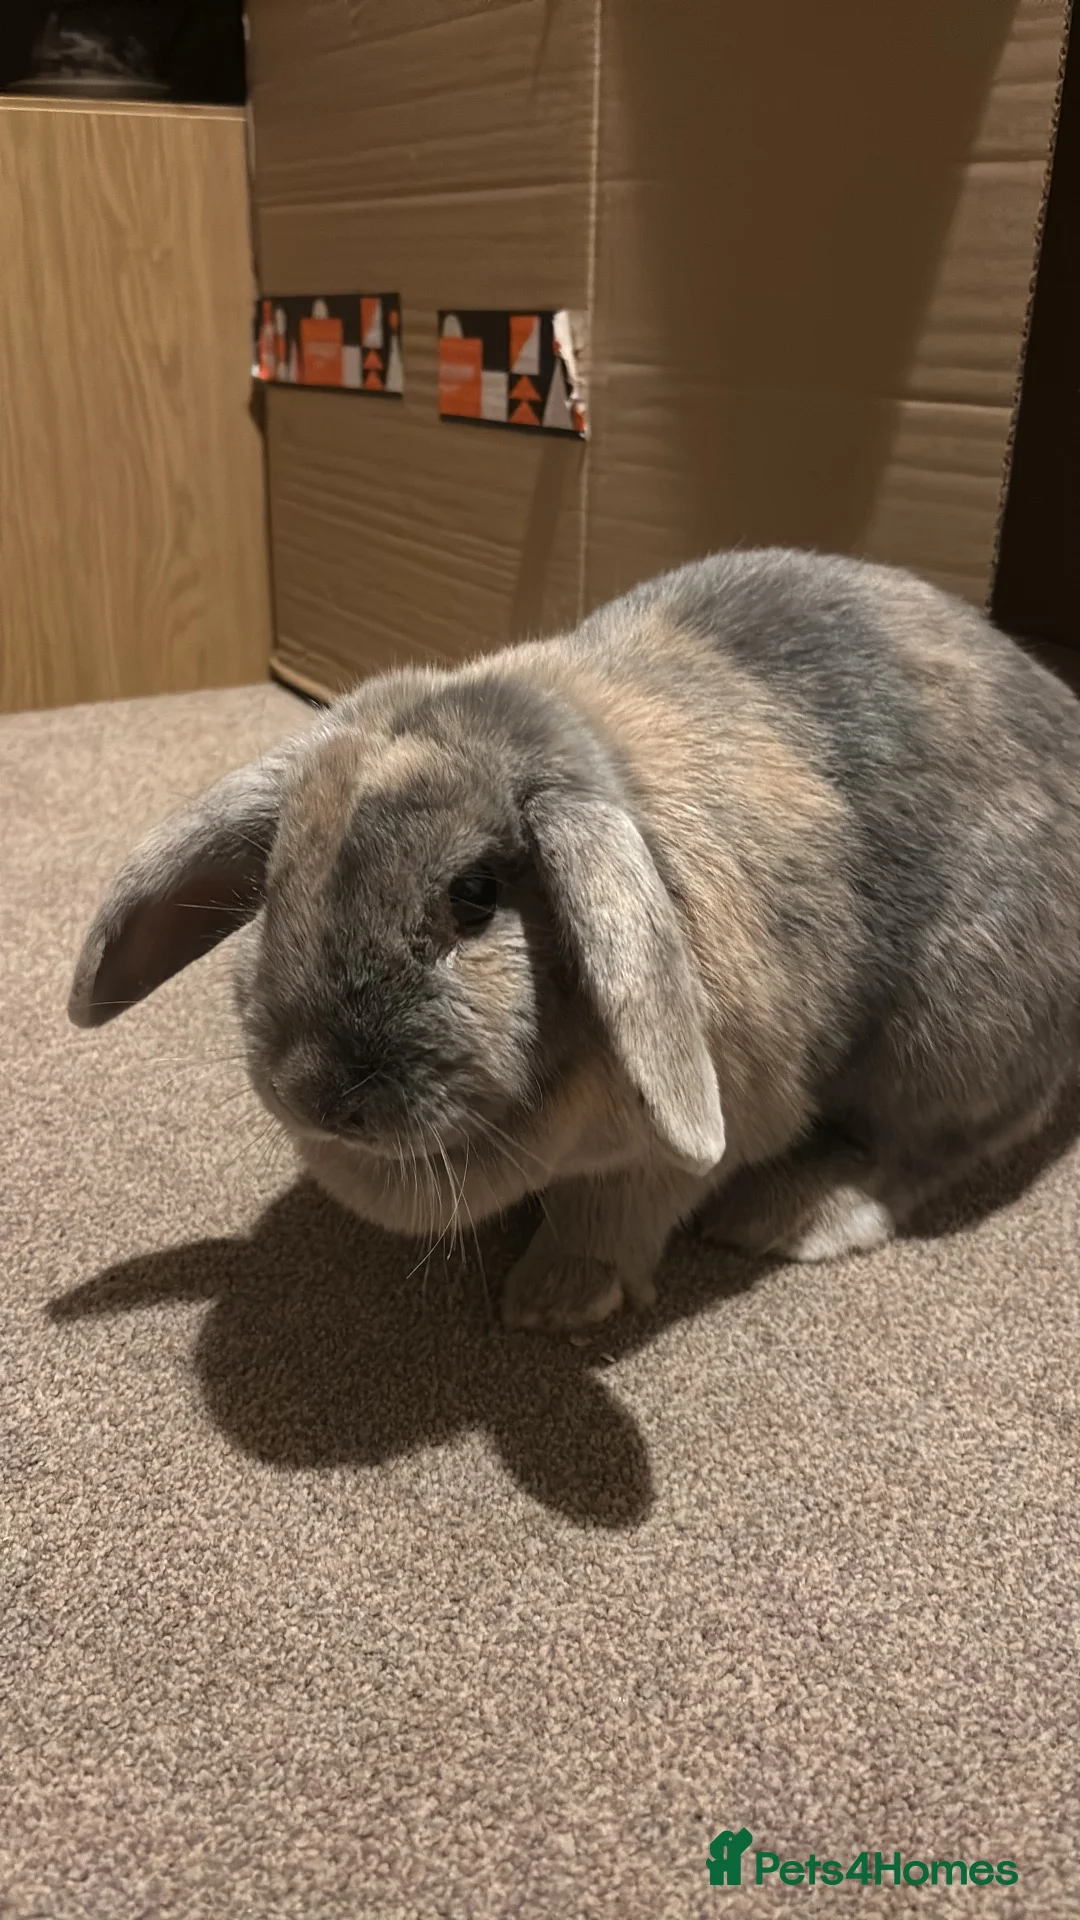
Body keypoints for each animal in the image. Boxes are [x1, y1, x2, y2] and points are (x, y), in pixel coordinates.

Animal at [69, 549, 1080, 1333]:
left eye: (475, 896)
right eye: (279, 876)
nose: (317, 1094)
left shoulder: (680, 1143)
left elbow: (613, 1215)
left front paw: (553, 1305)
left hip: (951, 1030)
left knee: (923, 1151)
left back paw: (787, 1215)